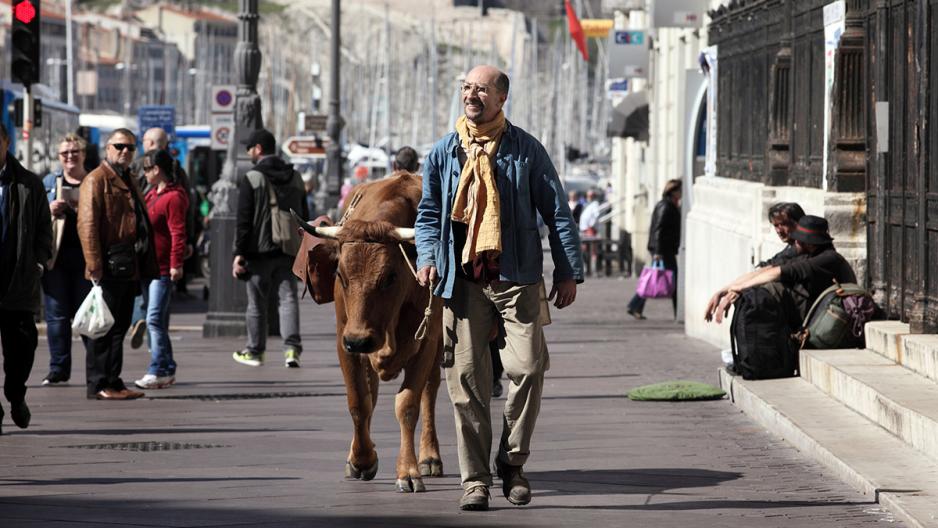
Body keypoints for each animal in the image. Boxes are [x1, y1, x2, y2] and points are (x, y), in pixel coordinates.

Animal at [296, 171, 446, 492]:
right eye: (340, 274)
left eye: (389, 277)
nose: (359, 338)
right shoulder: (344, 340)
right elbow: (359, 402)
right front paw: (362, 460)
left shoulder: (427, 339)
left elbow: (408, 403)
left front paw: (408, 471)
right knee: (371, 393)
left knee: (430, 390)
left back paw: (429, 457)